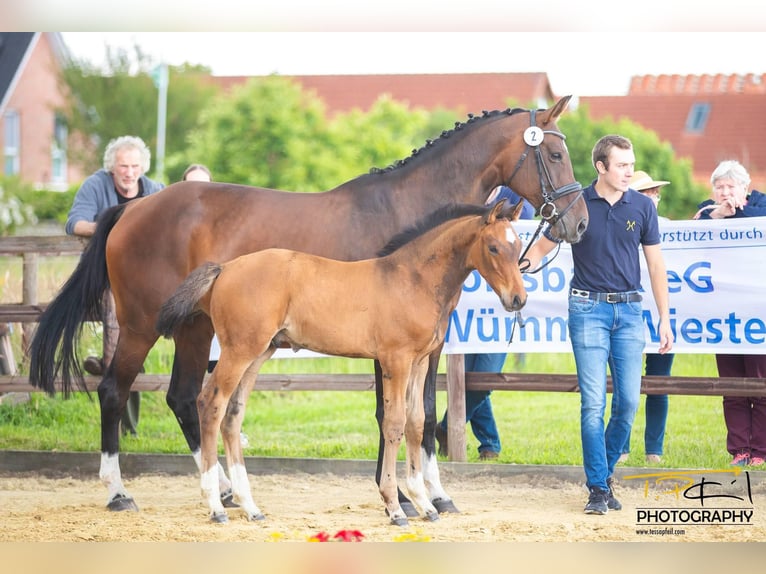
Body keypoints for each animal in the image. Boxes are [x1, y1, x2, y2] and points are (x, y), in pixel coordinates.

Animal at [156, 201, 528, 528]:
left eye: (520, 246)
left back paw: (250, 507)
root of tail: (225, 269)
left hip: (259, 352)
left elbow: (416, 422)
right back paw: (216, 506)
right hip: (239, 350)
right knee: (211, 403)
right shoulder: (395, 359)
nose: (518, 299)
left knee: (233, 414)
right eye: (494, 247)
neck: (413, 279)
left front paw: (425, 504)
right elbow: (393, 423)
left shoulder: (420, 361)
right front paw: (396, 508)